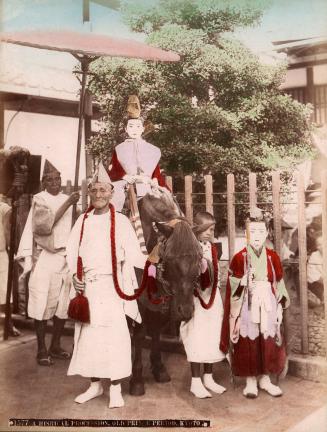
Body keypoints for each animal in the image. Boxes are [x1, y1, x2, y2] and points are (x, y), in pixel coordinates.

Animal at [129, 191, 202, 396]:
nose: (186, 311)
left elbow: (155, 331)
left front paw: (158, 367)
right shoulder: (138, 303)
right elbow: (139, 335)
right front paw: (137, 378)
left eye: (199, 257)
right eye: (169, 258)